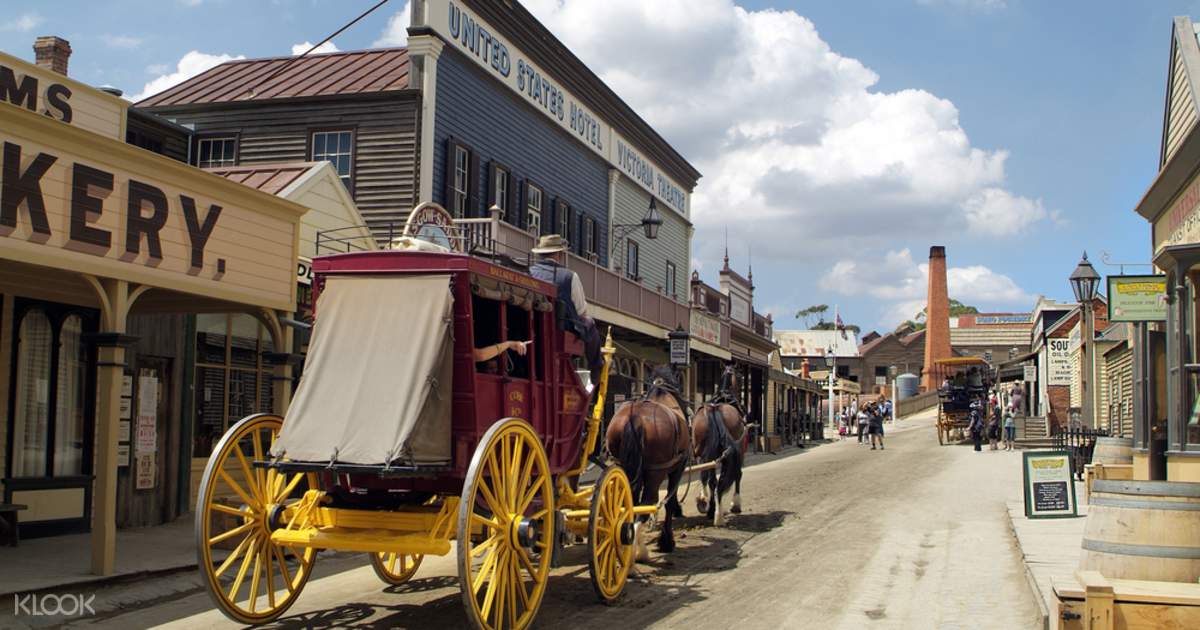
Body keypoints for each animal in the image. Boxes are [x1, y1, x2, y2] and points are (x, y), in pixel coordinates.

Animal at [604, 362, 691, 549]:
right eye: (679, 384)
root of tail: (636, 419)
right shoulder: (677, 468)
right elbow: (669, 501)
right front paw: (667, 540)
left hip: (622, 466)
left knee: (630, 503)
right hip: (656, 471)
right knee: (645, 505)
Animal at [691, 362, 744, 525]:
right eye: (741, 377)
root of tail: (714, 409)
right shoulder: (741, 449)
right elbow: (738, 474)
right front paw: (736, 504)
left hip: (702, 453)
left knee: (709, 479)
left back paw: (706, 505)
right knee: (718, 480)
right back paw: (717, 513)